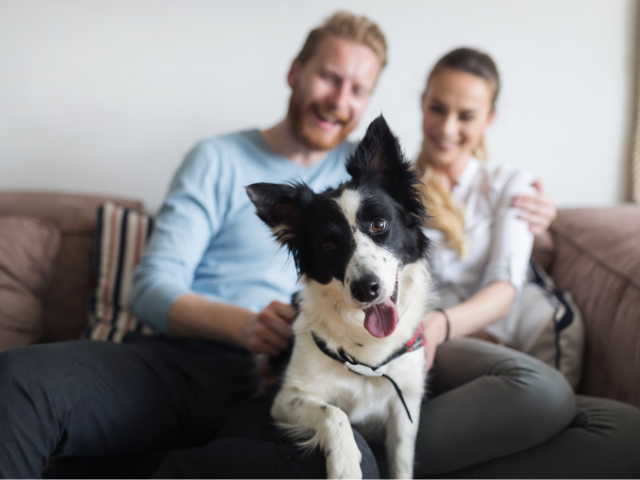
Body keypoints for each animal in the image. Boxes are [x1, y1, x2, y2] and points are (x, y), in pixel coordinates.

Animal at [245, 117, 430, 480]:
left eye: (379, 224)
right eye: (328, 246)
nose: (366, 288)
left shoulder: (405, 406)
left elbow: (401, 462)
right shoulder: (287, 398)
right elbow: (335, 414)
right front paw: (345, 466)